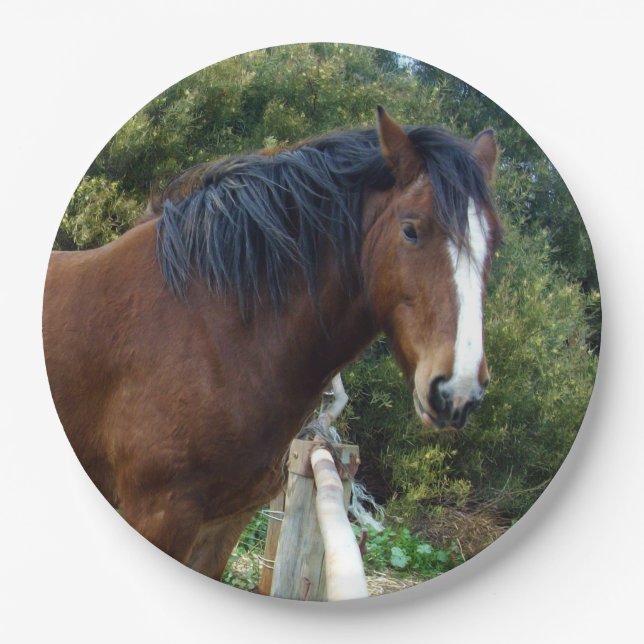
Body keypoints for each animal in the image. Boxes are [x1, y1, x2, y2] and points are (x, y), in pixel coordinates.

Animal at [43, 107, 501, 580]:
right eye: (411, 230)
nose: (457, 391)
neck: (214, 326)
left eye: (494, 244)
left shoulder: (225, 521)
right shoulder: (159, 513)